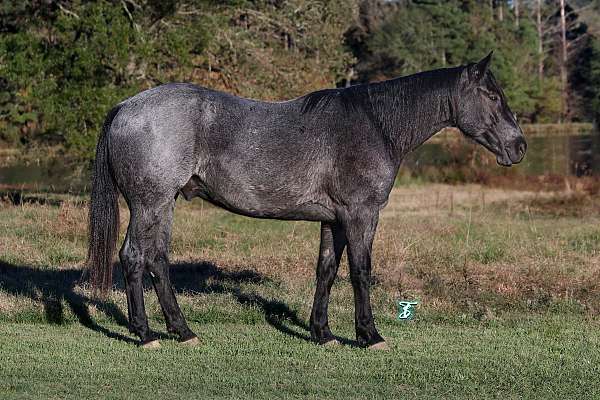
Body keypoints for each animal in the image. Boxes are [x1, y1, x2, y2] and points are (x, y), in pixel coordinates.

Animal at [88, 54, 524, 350]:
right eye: (491, 94)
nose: (519, 146)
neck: (376, 124)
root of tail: (126, 107)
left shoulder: (334, 219)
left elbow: (326, 270)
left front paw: (323, 332)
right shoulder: (361, 214)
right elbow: (361, 271)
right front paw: (369, 335)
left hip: (165, 204)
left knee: (157, 260)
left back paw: (183, 331)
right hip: (149, 203)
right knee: (133, 257)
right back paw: (145, 334)